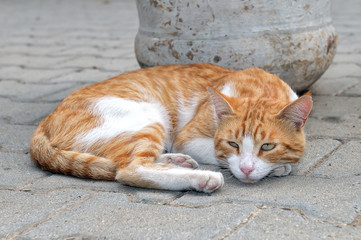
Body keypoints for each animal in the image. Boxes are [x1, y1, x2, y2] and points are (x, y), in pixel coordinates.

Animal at [30, 63, 312, 193]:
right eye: (232, 143)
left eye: (268, 146)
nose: (246, 169)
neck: (261, 88)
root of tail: (46, 120)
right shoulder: (187, 137)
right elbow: (219, 155)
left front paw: (276, 166)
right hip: (149, 117)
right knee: (130, 168)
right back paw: (200, 177)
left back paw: (177, 161)